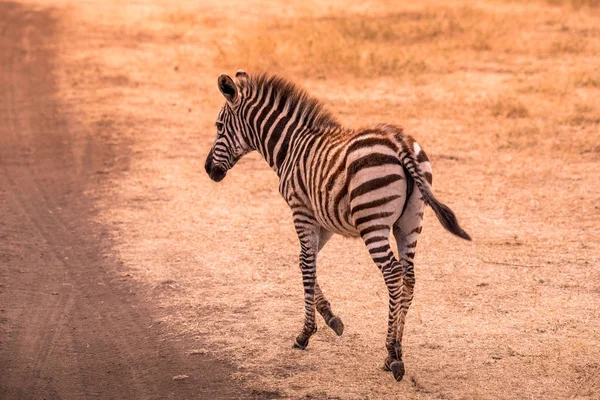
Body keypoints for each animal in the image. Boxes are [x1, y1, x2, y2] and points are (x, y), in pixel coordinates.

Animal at [204, 71, 472, 382]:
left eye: (219, 126)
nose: (208, 170)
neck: (290, 146)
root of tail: (400, 143)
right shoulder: (325, 220)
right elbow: (304, 260)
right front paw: (331, 318)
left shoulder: (301, 211)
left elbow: (307, 264)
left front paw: (305, 334)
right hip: (410, 222)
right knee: (409, 277)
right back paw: (396, 351)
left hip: (373, 223)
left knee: (393, 274)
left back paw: (392, 354)